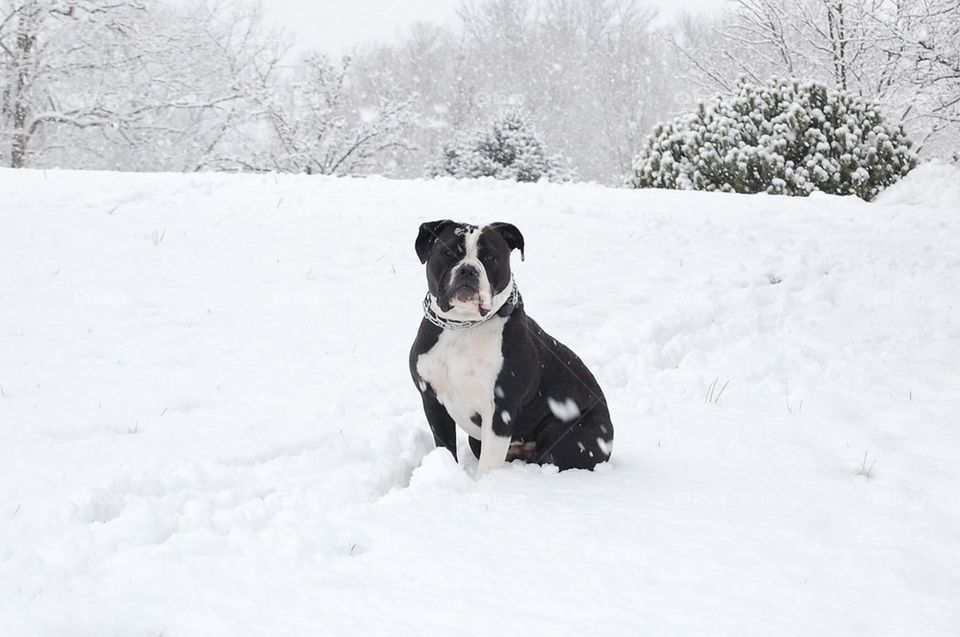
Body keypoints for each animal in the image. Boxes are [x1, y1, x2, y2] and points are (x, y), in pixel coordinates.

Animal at [408, 221, 612, 474]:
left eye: (490, 257)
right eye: (447, 252)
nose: (468, 270)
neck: (462, 327)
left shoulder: (500, 410)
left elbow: (487, 466)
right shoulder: (431, 400)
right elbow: (445, 447)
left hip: (568, 435)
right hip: (477, 440)